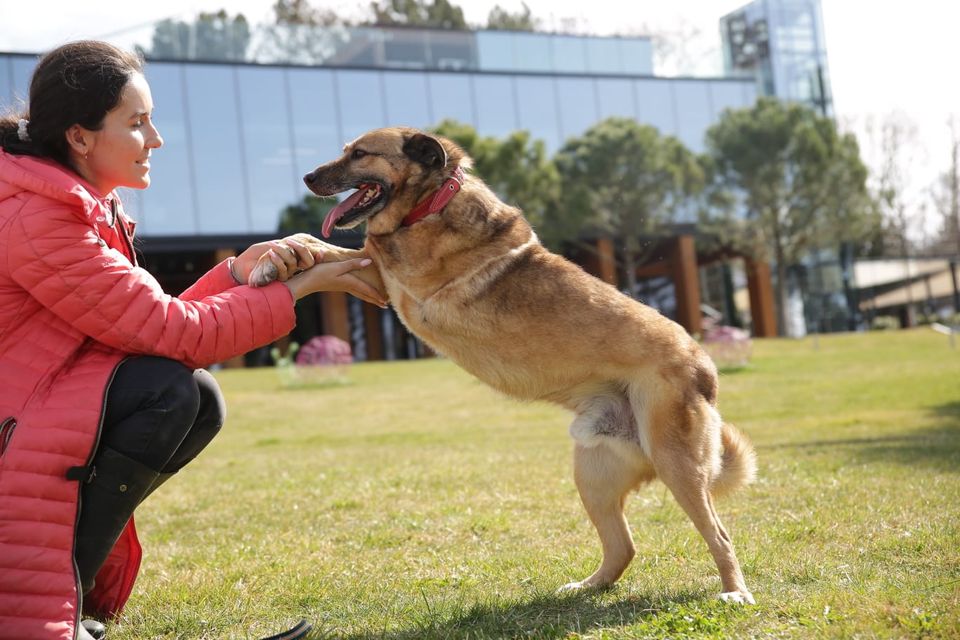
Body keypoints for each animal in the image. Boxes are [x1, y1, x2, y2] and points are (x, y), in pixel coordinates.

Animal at [294, 127, 756, 604]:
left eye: (360, 154)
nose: (308, 177)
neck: (434, 200)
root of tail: (705, 370)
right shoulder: (376, 274)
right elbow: (324, 249)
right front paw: (285, 258)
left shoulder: (395, 270)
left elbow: (355, 245)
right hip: (594, 475)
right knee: (623, 547)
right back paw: (585, 586)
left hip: (675, 464)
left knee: (719, 536)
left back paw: (735, 592)